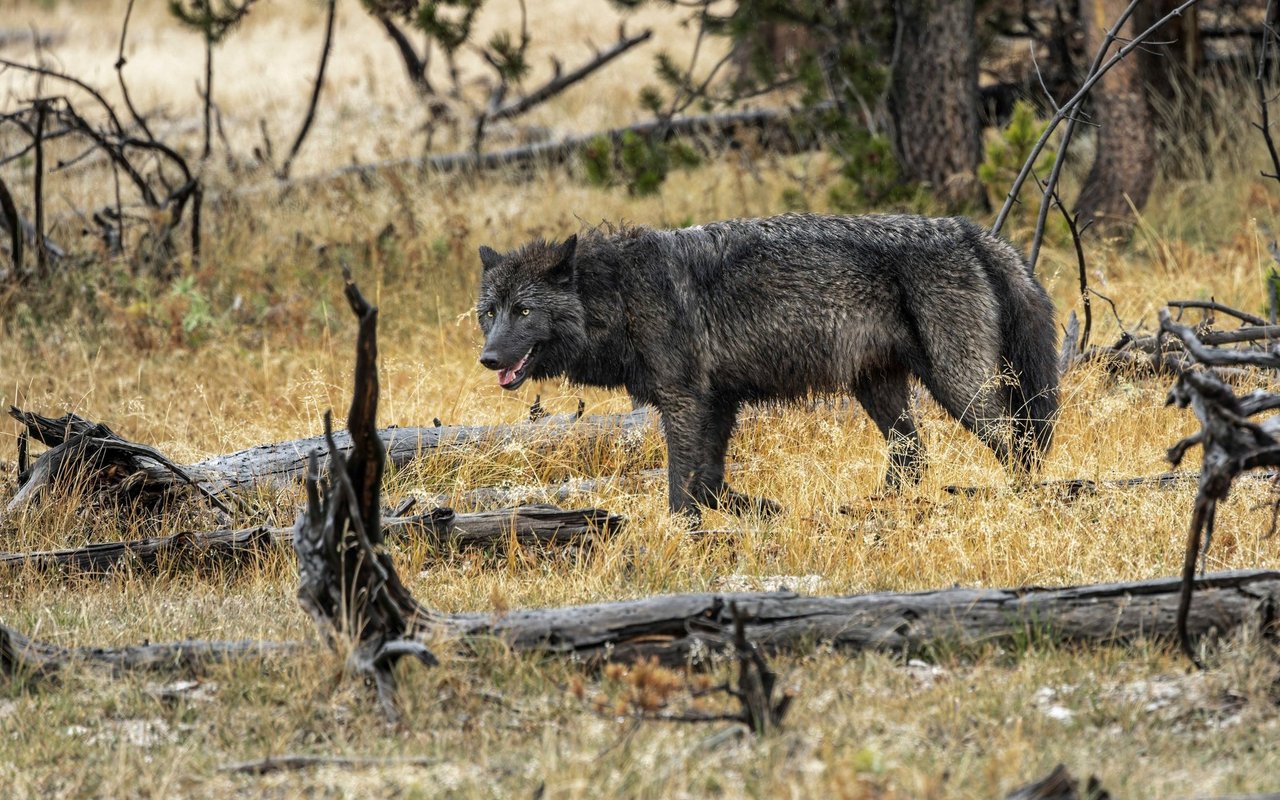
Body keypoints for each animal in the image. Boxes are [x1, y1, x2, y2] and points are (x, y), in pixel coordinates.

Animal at [476, 215, 1054, 522]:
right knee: (913, 456)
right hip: (878, 389)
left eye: (523, 311)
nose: (488, 359)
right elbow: (709, 482)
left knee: (1016, 444)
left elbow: (680, 486)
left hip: (960, 389)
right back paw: (871, 509)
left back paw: (1028, 501)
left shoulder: (684, 402)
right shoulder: (717, 403)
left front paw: (683, 535)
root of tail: (966, 229)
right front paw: (761, 511)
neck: (619, 294)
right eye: (489, 313)